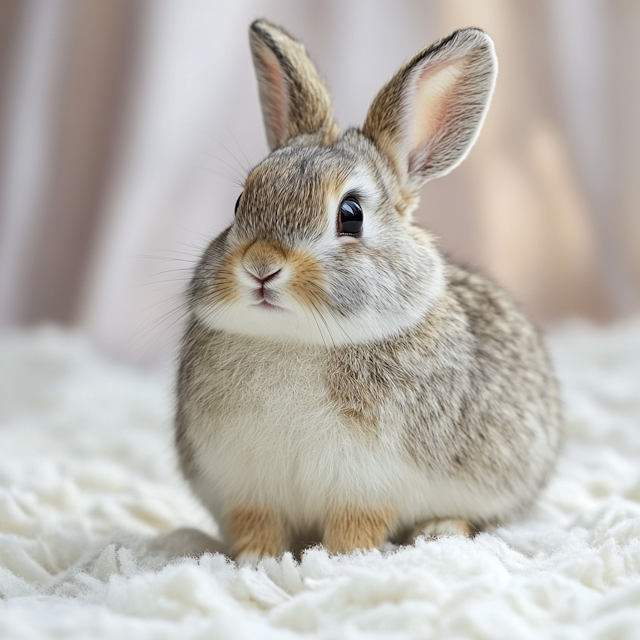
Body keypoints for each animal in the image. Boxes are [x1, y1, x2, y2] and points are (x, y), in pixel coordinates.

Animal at [174, 18, 560, 560]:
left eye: (350, 215)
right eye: (239, 203)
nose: (261, 267)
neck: (296, 340)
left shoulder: (367, 485)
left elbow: (355, 527)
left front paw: (341, 560)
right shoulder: (244, 486)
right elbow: (258, 526)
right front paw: (253, 560)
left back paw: (439, 530)